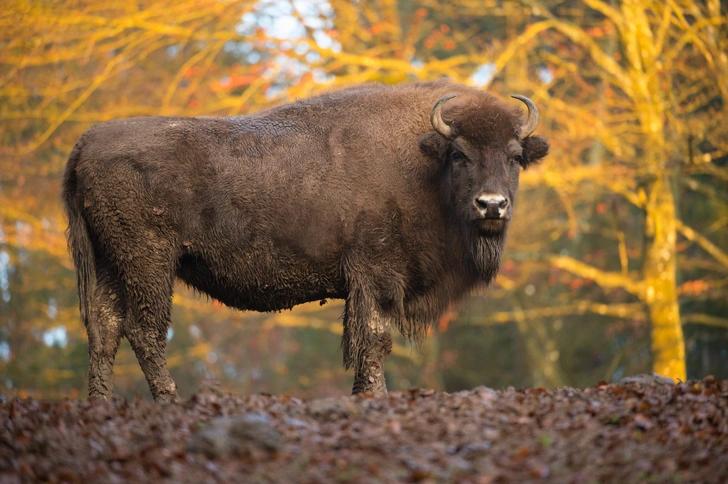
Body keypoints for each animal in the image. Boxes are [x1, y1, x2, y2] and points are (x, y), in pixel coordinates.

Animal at [62, 80, 548, 400]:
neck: (424, 161)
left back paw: (101, 405)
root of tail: (86, 143)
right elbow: (374, 342)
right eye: (460, 154)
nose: (491, 205)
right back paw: (170, 402)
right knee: (144, 330)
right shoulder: (376, 276)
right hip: (149, 263)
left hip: (110, 265)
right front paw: (374, 398)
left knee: (104, 330)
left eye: (515, 156)